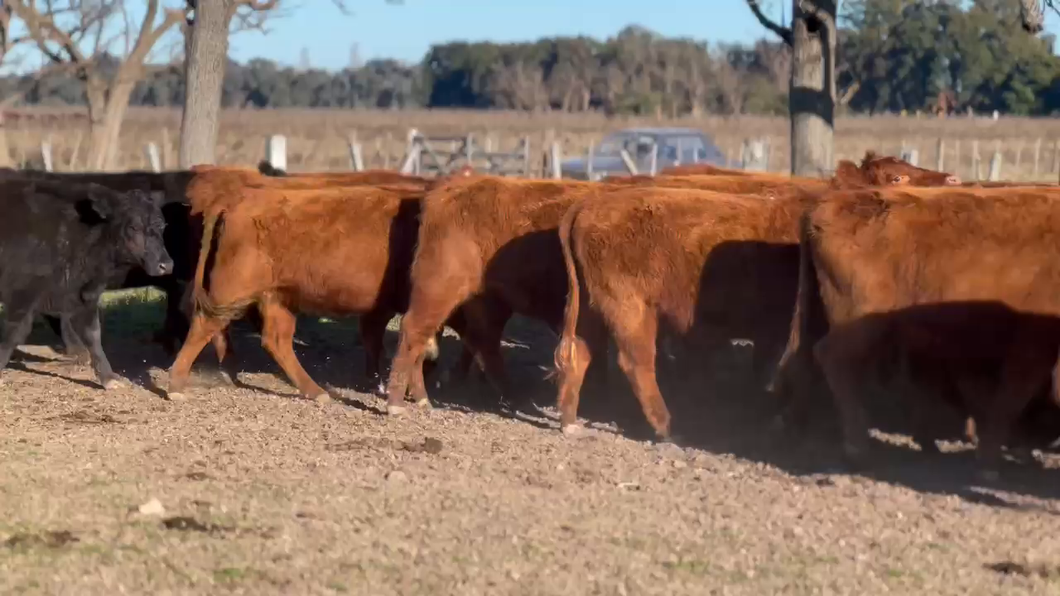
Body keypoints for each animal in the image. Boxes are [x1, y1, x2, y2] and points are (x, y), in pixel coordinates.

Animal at [551, 185, 805, 436]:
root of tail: (588, 205)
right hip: (630, 308)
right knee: (637, 361)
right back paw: (665, 426)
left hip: (589, 308)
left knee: (579, 353)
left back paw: (570, 423)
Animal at [775, 185, 1060, 477]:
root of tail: (826, 203)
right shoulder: (1033, 343)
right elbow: (1011, 398)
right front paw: (989, 462)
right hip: (860, 324)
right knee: (833, 359)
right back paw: (857, 448)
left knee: (803, 357)